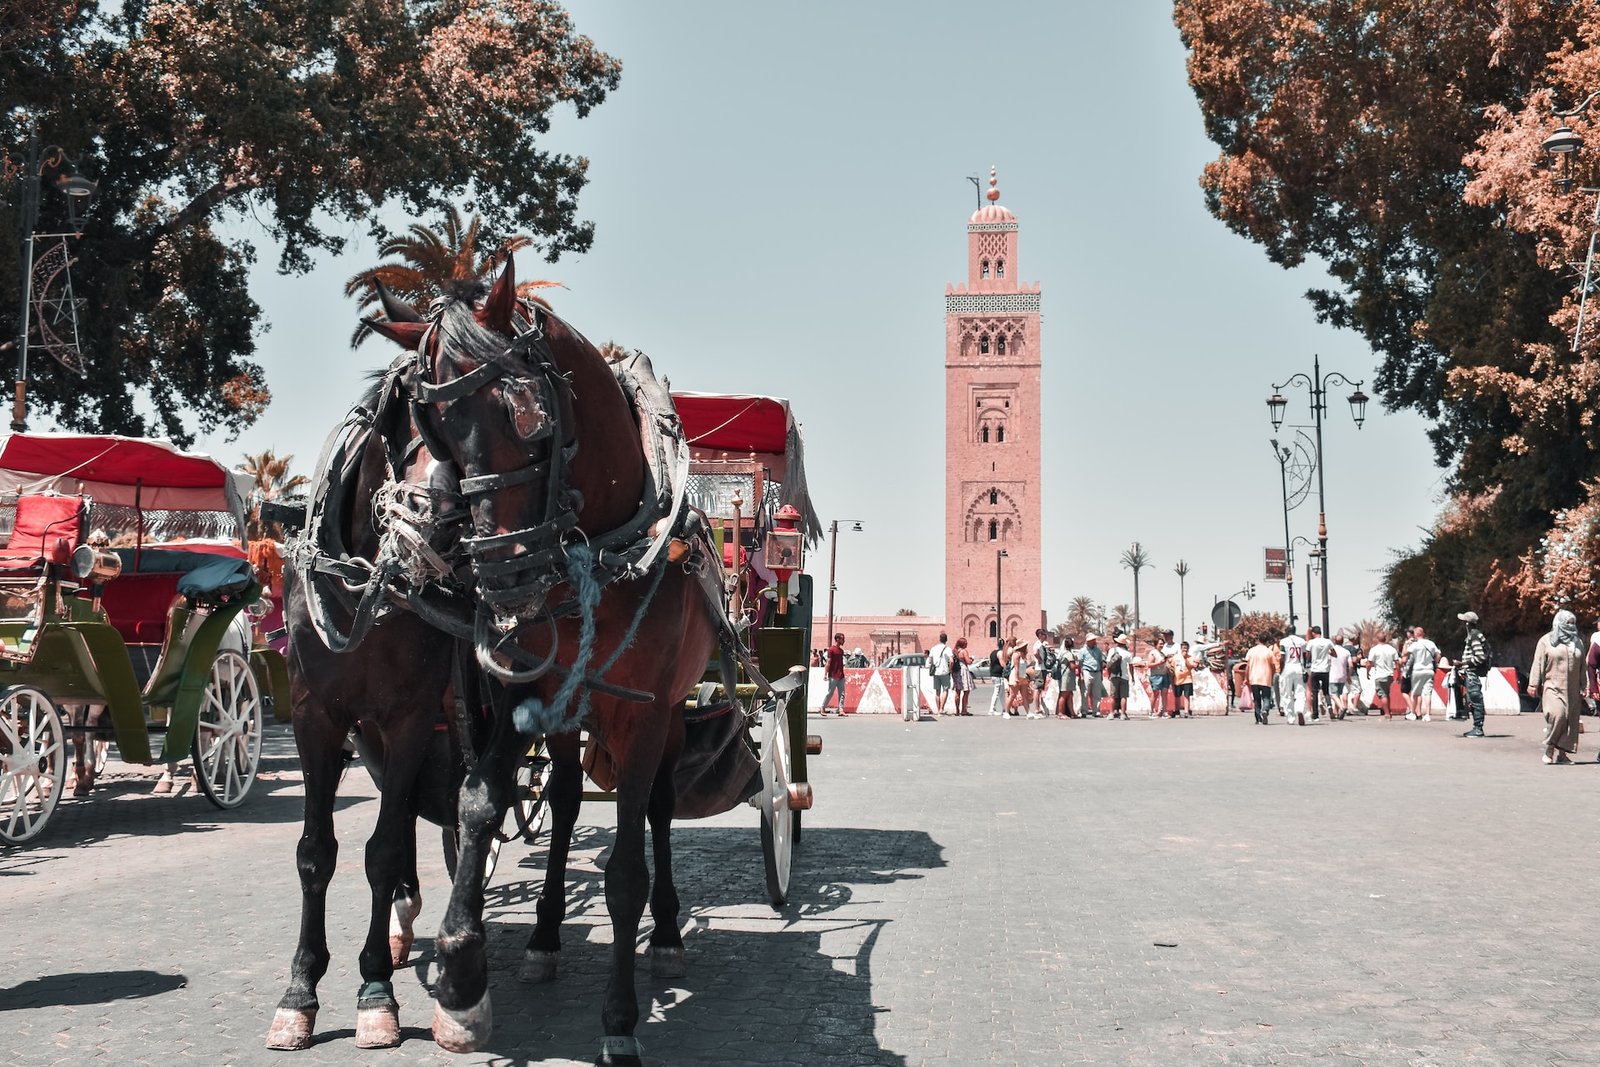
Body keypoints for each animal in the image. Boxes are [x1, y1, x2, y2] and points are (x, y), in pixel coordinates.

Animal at [267, 260, 720, 1067]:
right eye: (420, 424)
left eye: (528, 415)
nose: (496, 571)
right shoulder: (325, 713)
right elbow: (361, 839)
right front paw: (409, 978)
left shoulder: (626, 712)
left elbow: (623, 873)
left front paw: (617, 1018)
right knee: (560, 798)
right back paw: (527, 935)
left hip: (666, 715)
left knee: (660, 811)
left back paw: (664, 933)